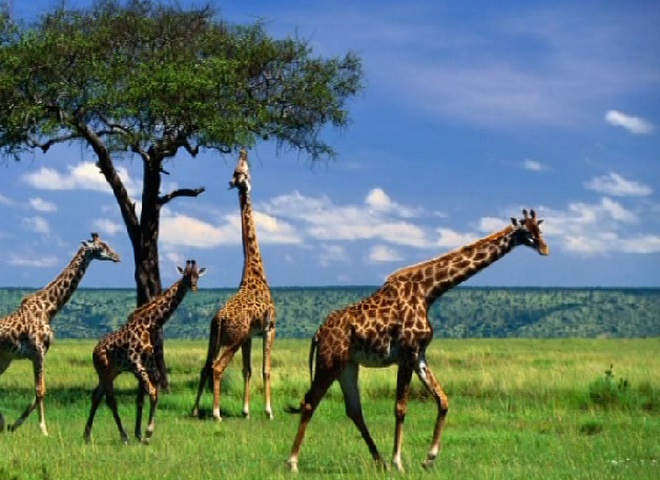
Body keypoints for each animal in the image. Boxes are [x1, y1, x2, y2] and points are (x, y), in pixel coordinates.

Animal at [0, 233, 120, 435]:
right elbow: (40, 390)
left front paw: (13, 425)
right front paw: (43, 430)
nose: (117, 256)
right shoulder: (38, 351)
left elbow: (40, 391)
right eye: (100, 246)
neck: (49, 309)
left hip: (5, 359)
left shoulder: (40, 353)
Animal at [83, 260, 205, 444]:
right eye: (185, 275)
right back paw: (123, 436)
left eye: (197, 275)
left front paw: (140, 434)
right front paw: (147, 434)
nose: (193, 286)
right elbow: (152, 392)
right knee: (110, 399)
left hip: (112, 371)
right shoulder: (135, 362)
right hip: (103, 369)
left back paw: (87, 435)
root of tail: (94, 351)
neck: (150, 325)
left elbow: (145, 396)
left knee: (96, 395)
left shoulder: (147, 363)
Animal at [191, 149, 276, 421]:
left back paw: (196, 410)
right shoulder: (270, 328)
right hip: (232, 340)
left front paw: (246, 411)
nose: (243, 151)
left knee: (205, 366)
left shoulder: (250, 335)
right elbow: (265, 369)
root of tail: (218, 318)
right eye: (244, 171)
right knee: (217, 368)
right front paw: (269, 411)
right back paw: (216, 412)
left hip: (215, 338)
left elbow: (247, 370)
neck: (256, 273)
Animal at [286, 209, 550, 473]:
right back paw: (293, 462)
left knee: (353, 409)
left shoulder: (419, 355)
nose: (545, 248)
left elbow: (442, 400)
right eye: (526, 231)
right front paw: (399, 462)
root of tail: (318, 333)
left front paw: (429, 458)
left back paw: (379, 461)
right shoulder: (407, 353)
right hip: (330, 361)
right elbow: (401, 407)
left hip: (347, 365)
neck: (428, 292)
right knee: (310, 402)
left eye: (540, 228)